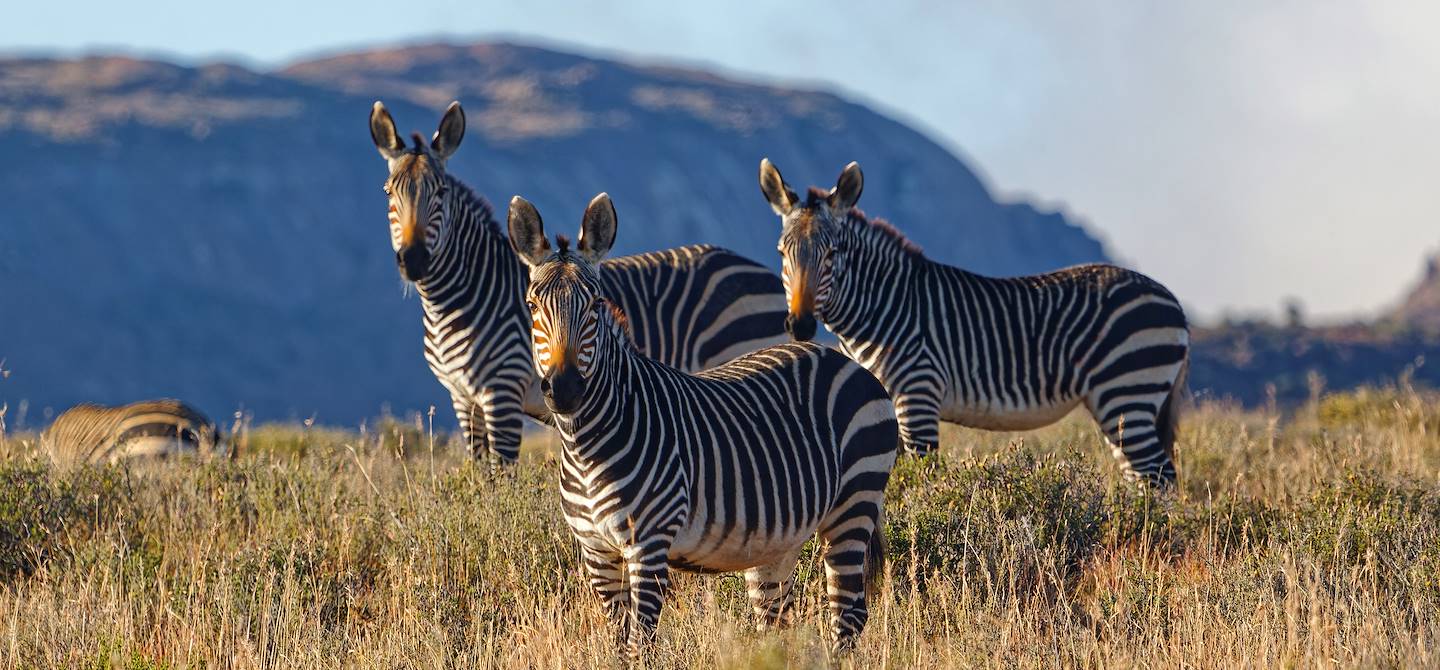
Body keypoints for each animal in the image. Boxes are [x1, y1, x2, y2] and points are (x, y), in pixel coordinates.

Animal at [368, 101, 787, 463]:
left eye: (440, 193)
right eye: (388, 192)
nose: (414, 260)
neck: (456, 300)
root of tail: (763, 271)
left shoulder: (502, 392)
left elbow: (499, 478)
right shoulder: (462, 398)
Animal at [508, 193, 898, 659]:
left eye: (596, 304)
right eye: (532, 305)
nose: (565, 389)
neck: (586, 445)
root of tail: (846, 361)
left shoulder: (649, 545)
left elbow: (641, 646)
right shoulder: (597, 553)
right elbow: (621, 644)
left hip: (853, 505)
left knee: (848, 616)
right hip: (777, 542)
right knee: (779, 624)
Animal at [759, 159, 1190, 486]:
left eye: (833, 253)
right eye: (781, 252)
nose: (801, 326)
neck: (882, 306)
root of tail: (1173, 301)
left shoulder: (918, 393)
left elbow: (919, 482)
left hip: (1127, 389)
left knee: (1159, 478)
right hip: (1121, 402)